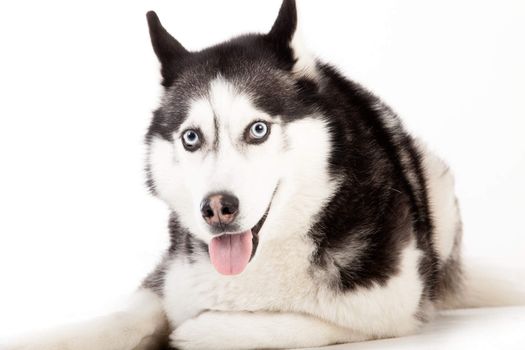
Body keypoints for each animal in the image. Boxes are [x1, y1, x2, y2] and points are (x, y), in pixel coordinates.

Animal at [8, 0, 520, 350]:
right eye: (191, 137)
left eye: (258, 129)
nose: (217, 208)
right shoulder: (167, 276)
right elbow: (124, 316)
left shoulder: (391, 304)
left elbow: (295, 321)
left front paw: (194, 330)